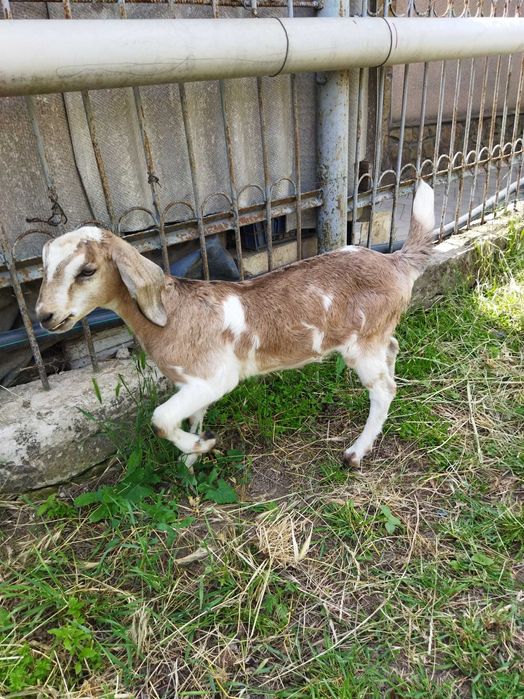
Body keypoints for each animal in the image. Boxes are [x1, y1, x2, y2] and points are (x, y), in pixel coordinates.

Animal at [36, 182, 435, 468]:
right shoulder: (191, 383)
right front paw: (193, 452)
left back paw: (354, 453)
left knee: (383, 390)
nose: (44, 316)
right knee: (393, 352)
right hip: (378, 336)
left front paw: (202, 445)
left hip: (362, 342)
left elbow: (161, 418)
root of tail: (397, 262)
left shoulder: (215, 377)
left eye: (87, 271)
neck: (174, 313)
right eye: (45, 267)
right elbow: (192, 415)